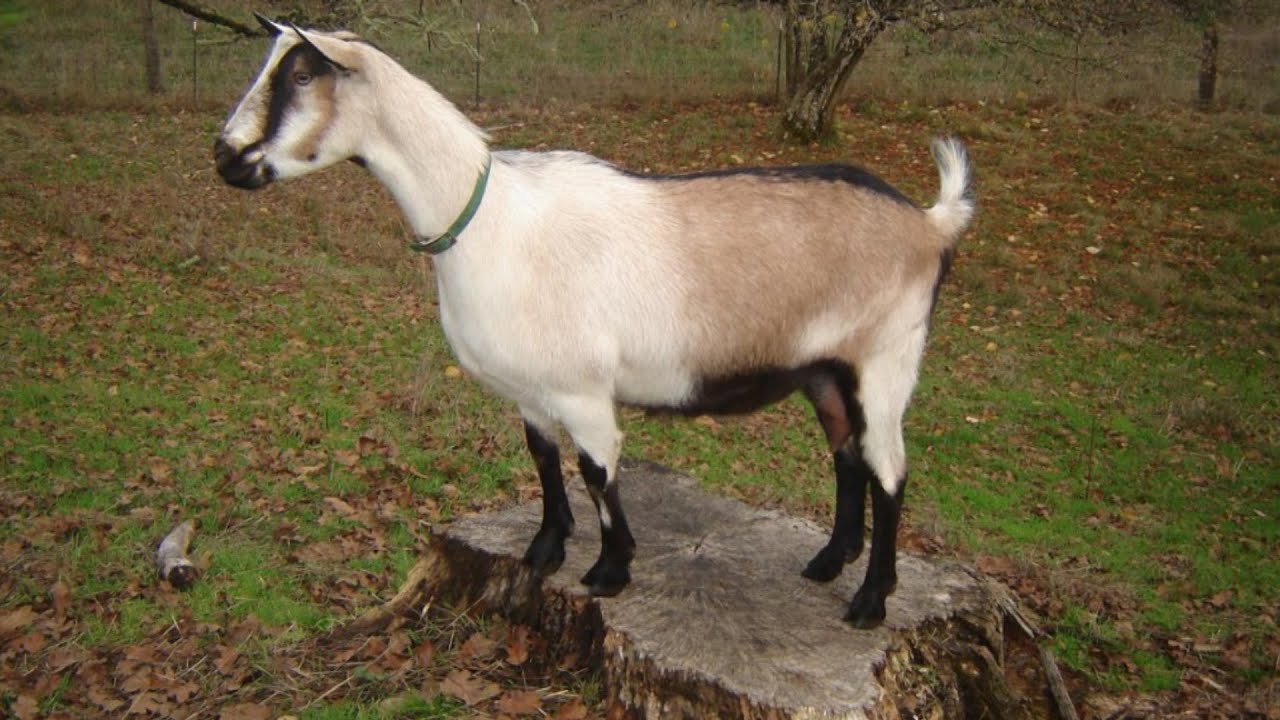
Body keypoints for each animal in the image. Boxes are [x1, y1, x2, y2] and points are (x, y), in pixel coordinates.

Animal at [214, 16, 974, 628]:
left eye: (302, 73)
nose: (226, 156)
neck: (489, 221)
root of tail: (930, 224)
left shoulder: (582, 390)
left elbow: (596, 469)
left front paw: (610, 570)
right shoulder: (531, 390)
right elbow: (544, 460)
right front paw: (545, 549)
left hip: (886, 359)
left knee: (889, 471)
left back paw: (869, 601)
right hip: (823, 369)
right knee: (848, 456)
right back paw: (826, 563)